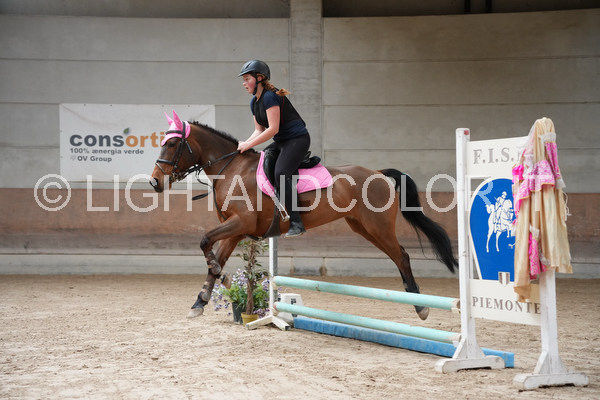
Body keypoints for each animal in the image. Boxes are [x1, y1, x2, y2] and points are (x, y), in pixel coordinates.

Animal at [150, 111, 458, 320]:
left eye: (173, 145)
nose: (155, 182)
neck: (230, 168)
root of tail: (378, 173)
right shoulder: (234, 229)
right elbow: (214, 256)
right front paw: (201, 300)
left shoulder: (241, 223)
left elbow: (204, 241)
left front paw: (218, 281)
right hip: (363, 227)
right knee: (398, 255)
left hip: (378, 226)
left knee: (402, 256)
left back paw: (421, 306)